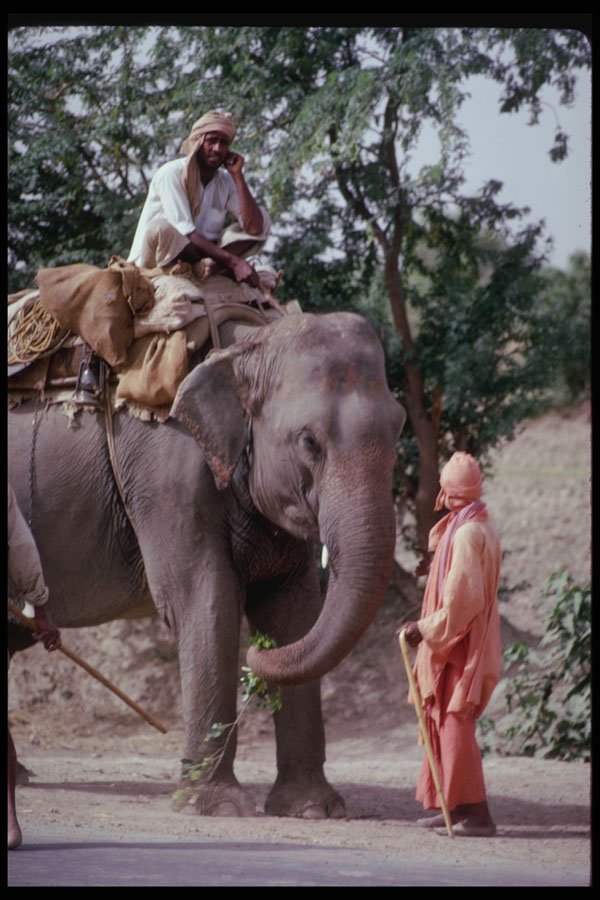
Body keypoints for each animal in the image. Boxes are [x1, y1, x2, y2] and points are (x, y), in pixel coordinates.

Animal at [8, 310, 406, 818]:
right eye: (308, 441)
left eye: (400, 426)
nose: (257, 656)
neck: (247, 342)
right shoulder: (165, 478)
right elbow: (205, 600)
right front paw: (216, 806)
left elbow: (293, 611)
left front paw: (313, 809)